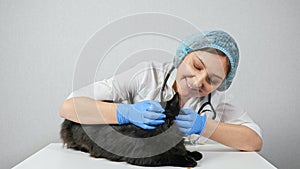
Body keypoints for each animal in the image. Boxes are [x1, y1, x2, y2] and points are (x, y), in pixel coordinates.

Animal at [59, 93, 203, 167]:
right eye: (159, 119)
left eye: (172, 118)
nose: (167, 126)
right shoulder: (146, 157)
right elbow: (169, 157)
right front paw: (187, 160)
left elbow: (183, 150)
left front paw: (193, 153)